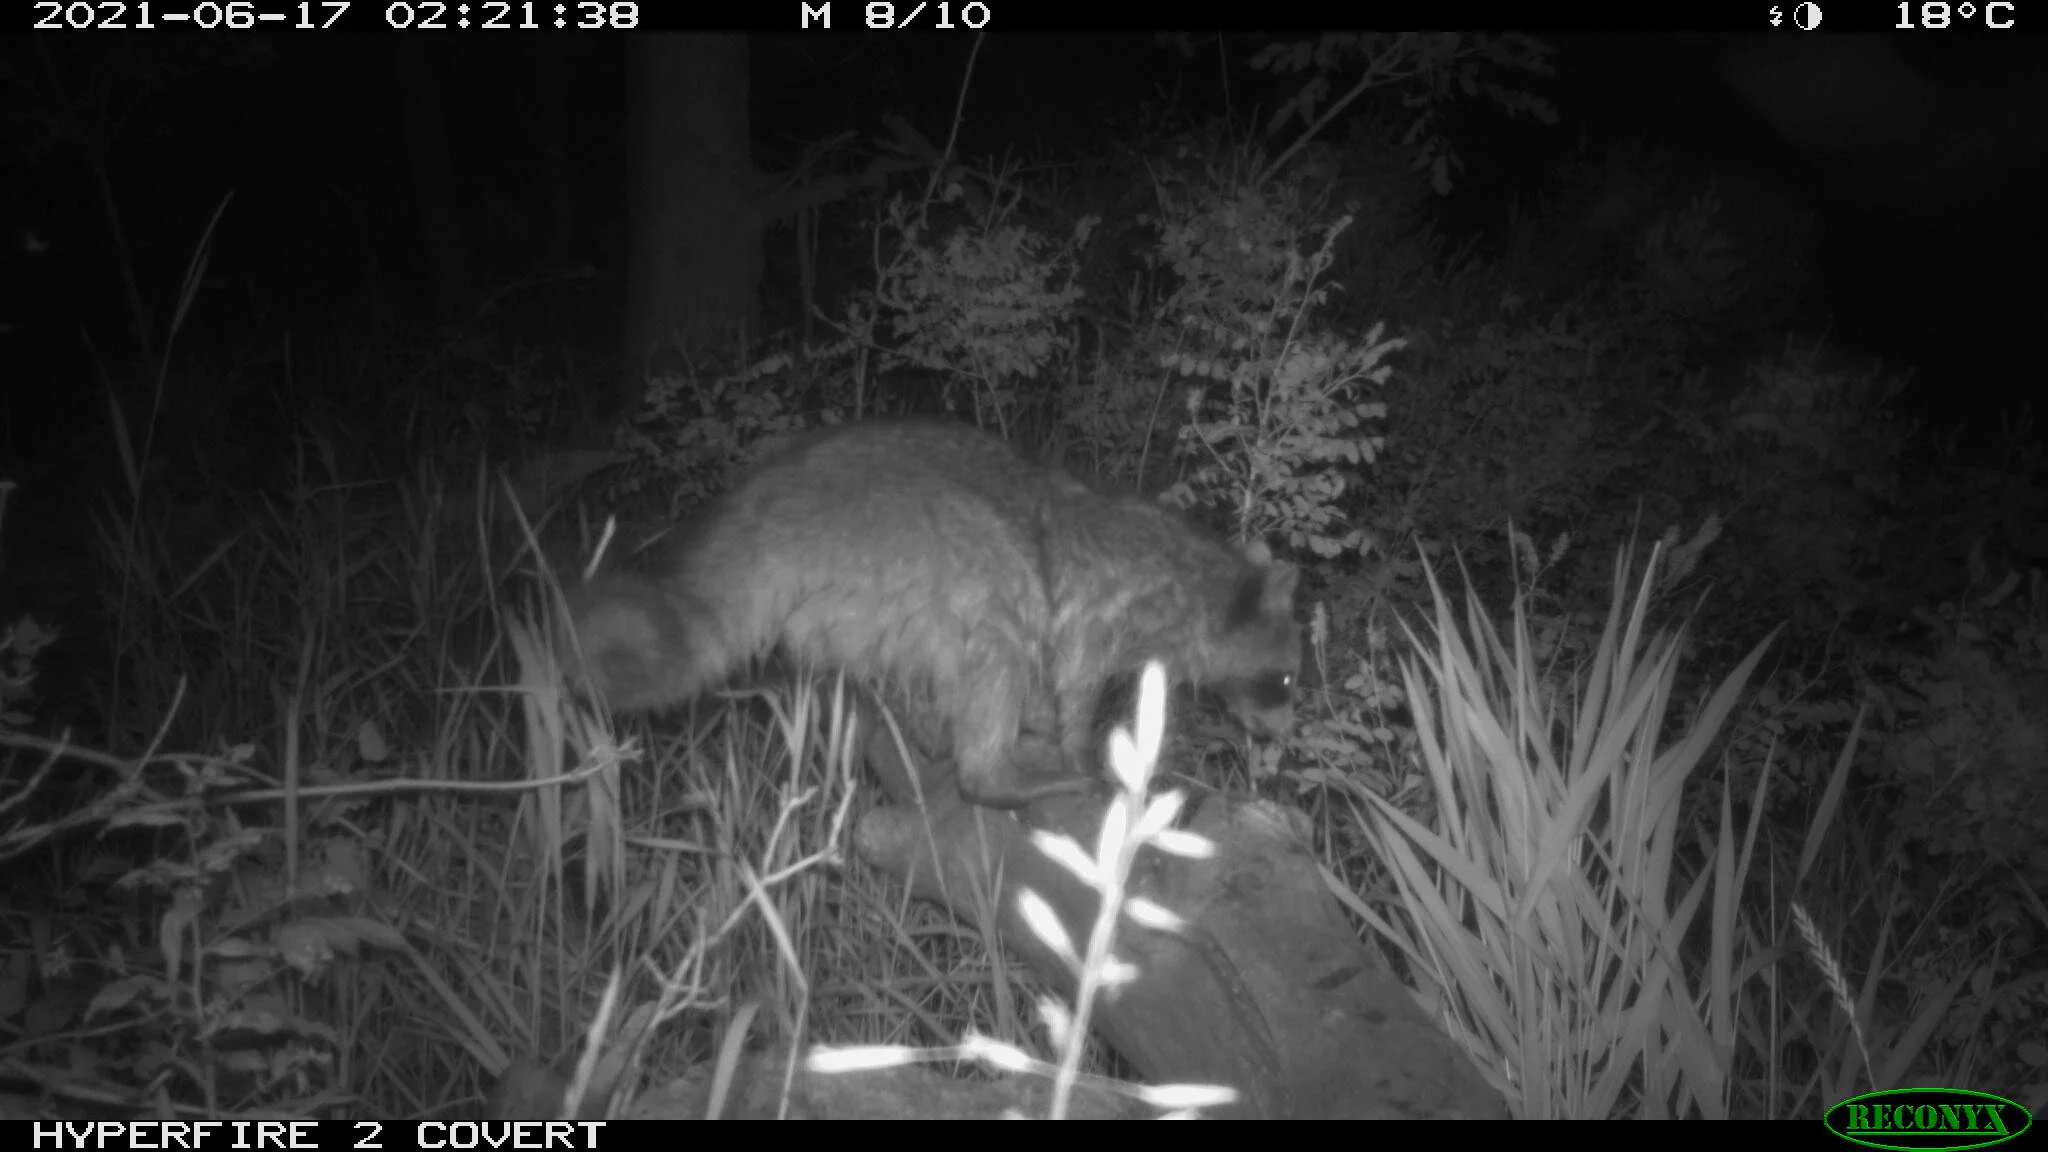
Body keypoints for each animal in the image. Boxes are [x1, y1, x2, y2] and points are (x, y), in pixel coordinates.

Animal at [568, 420, 1300, 808]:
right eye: (1288, 680)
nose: (1281, 737)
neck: (1203, 581)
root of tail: (765, 511)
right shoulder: (1104, 605)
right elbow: (1075, 681)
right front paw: (1075, 742)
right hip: (913, 539)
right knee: (1003, 605)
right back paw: (994, 773)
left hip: (853, 601)